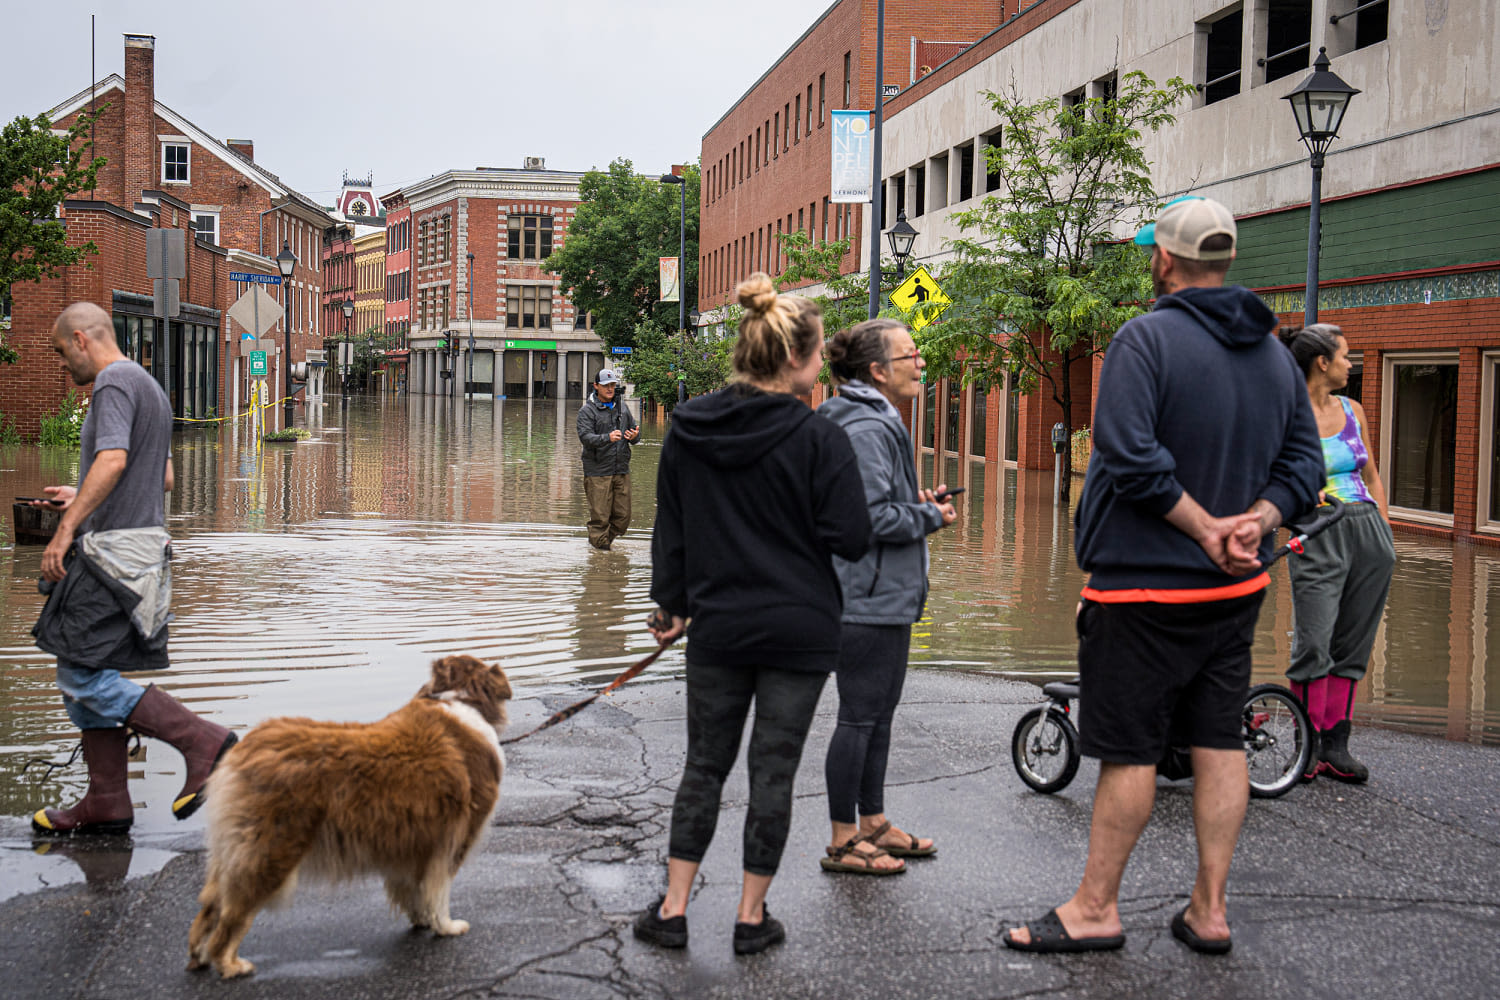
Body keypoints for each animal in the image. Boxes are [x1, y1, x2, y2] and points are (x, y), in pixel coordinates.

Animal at [186, 656, 516, 977]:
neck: (461, 698)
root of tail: (240, 754)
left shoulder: (414, 842)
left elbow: (415, 890)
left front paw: (421, 919)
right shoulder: (452, 839)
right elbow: (439, 892)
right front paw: (446, 927)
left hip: (233, 851)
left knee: (209, 908)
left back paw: (199, 957)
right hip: (272, 851)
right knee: (232, 916)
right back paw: (230, 965)